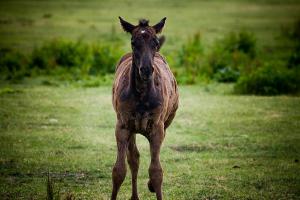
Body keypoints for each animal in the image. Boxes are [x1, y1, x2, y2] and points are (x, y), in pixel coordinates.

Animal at [112, 17, 178, 200]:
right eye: (133, 42)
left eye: (155, 42)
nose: (146, 70)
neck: (142, 94)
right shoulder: (123, 126)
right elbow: (119, 170)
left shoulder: (157, 128)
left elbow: (156, 172)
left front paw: (153, 185)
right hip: (133, 129)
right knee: (134, 159)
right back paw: (135, 196)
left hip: (166, 124)